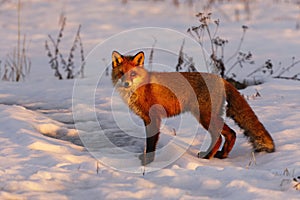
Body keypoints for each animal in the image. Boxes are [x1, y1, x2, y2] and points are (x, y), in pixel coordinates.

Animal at [111, 50, 276, 166]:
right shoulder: (146, 119)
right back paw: (222, 155)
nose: (126, 84)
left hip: (204, 117)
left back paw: (207, 157)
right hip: (209, 116)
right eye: (121, 73)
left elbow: (151, 143)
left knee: (219, 137)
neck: (141, 88)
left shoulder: (154, 118)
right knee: (231, 134)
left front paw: (148, 162)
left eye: (133, 74)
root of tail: (221, 79)